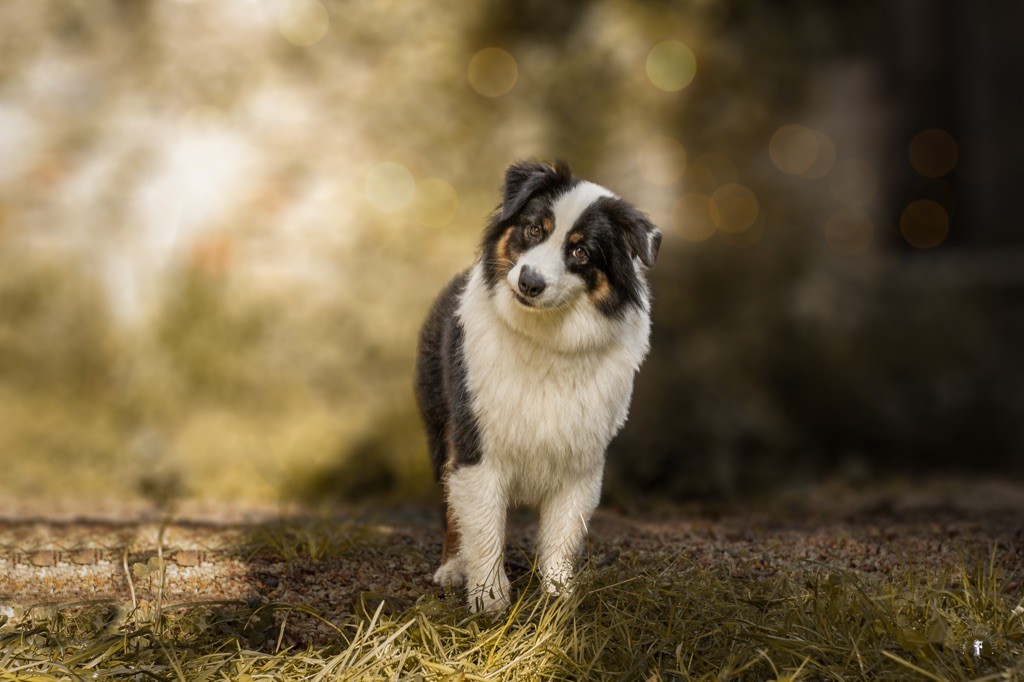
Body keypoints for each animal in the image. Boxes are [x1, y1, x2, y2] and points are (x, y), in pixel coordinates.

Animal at [415, 159, 663, 610]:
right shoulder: (476, 443)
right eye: (534, 230)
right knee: (450, 508)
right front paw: (489, 597)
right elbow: (484, 524)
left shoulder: (582, 453)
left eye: (581, 252)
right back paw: (453, 567)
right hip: (440, 430)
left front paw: (559, 595)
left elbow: (563, 531)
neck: (545, 335)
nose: (529, 282)